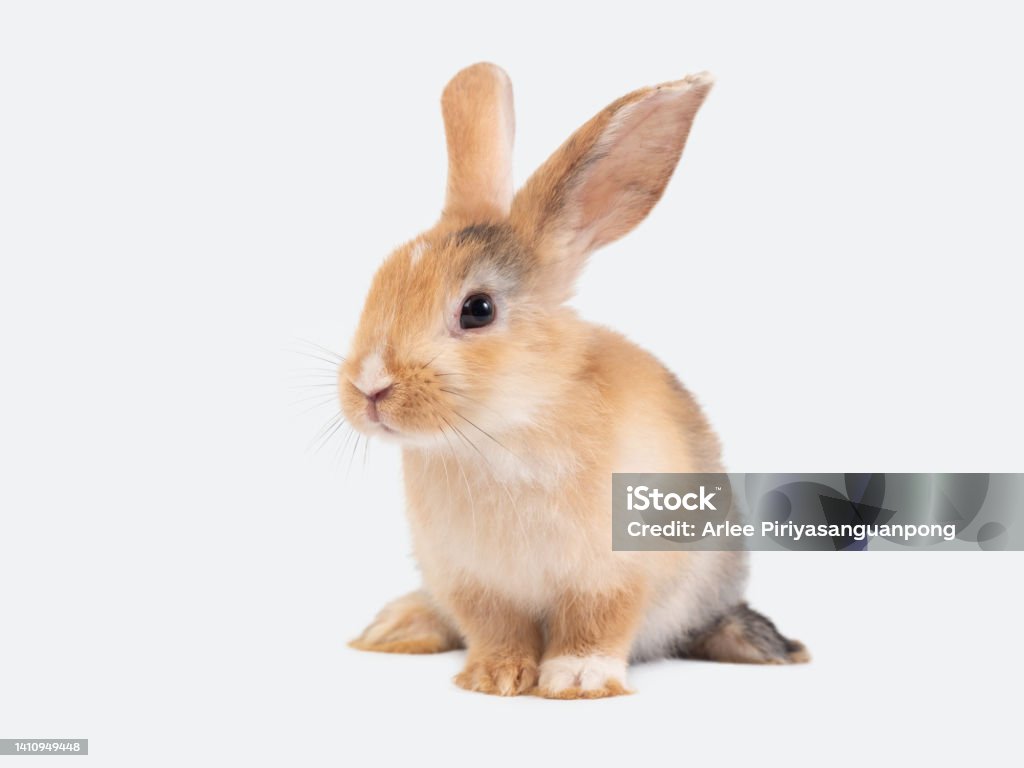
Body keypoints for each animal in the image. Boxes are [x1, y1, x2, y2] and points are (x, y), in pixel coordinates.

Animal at [339, 62, 808, 698]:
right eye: (378, 282)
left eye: (478, 310)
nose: (370, 387)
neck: (506, 428)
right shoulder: (474, 582)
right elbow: (495, 629)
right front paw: (491, 678)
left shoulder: (613, 574)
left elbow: (597, 624)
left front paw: (575, 681)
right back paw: (396, 627)